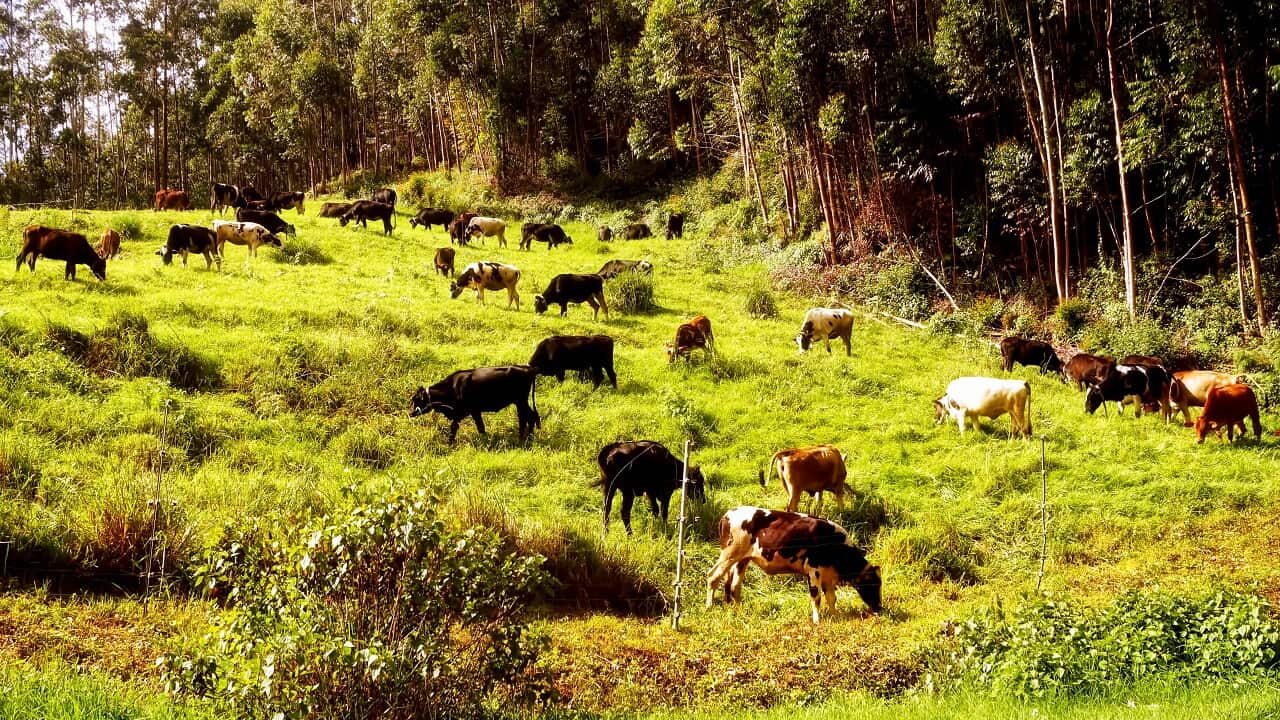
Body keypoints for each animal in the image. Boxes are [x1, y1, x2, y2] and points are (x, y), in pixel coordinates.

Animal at [409, 366, 540, 444]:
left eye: (416, 399)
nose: (410, 413)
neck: (453, 387)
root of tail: (528, 369)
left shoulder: (464, 411)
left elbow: (454, 427)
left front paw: (449, 443)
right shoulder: (474, 411)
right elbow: (480, 427)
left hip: (521, 401)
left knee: (527, 417)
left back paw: (523, 439)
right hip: (521, 402)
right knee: (530, 417)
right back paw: (528, 438)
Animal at [705, 506, 882, 623]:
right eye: (872, 584)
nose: (879, 608)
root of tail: (728, 514)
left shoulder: (827, 574)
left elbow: (832, 598)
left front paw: (835, 615)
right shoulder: (813, 571)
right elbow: (816, 597)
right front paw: (817, 621)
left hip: (742, 559)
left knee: (735, 586)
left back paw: (739, 610)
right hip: (729, 554)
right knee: (713, 576)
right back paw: (709, 607)